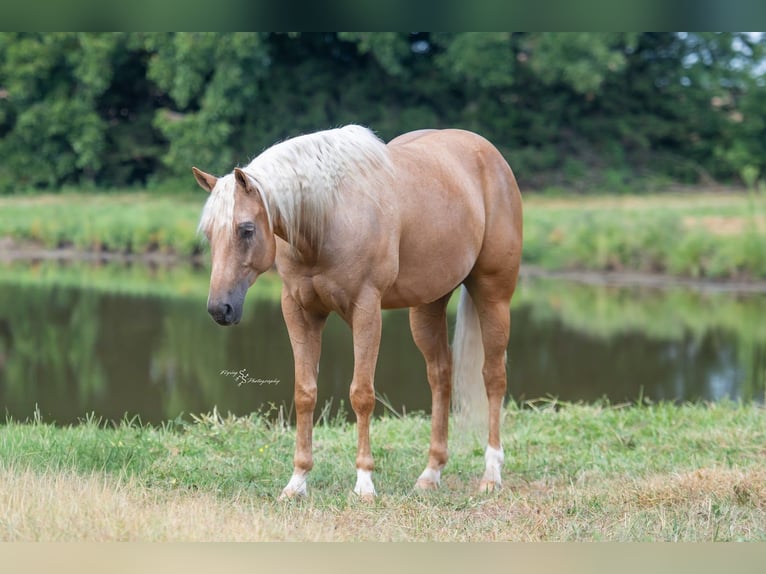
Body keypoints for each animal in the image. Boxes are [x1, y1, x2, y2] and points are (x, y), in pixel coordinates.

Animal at [193, 125, 522, 499]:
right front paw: (297, 481)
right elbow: (305, 393)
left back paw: (491, 474)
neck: (328, 217)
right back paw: (431, 473)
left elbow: (361, 394)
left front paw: (364, 482)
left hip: (493, 295)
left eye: (246, 229)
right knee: (441, 376)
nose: (220, 308)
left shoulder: (366, 311)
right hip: (428, 306)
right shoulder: (299, 311)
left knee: (493, 377)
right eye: (209, 234)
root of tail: (489, 154)